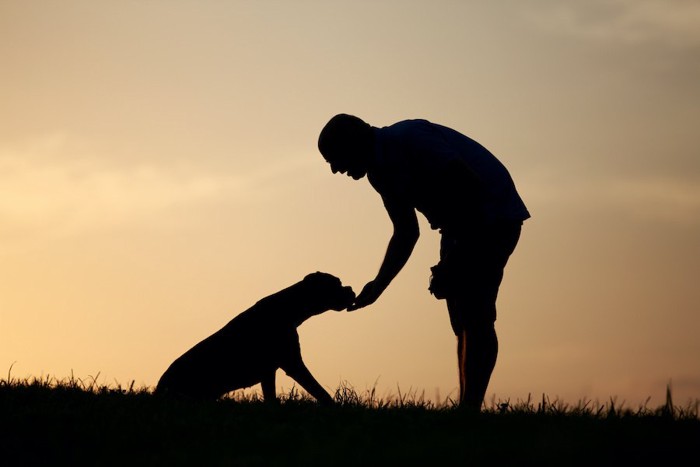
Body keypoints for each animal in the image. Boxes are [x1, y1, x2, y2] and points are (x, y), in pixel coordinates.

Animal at [154, 272, 356, 404]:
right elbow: (318, 390)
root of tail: (159, 388)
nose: (351, 289)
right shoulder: (292, 364)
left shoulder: (269, 372)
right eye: (336, 284)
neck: (288, 308)